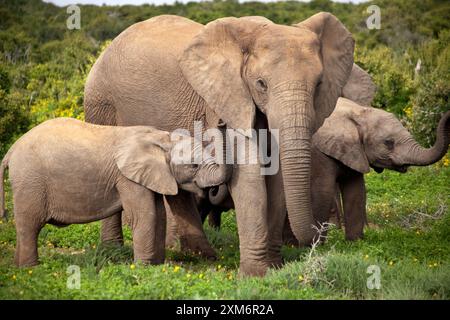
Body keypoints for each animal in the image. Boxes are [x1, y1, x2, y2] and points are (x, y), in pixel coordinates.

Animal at [0, 117, 230, 268]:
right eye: (193, 166)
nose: (221, 122)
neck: (162, 138)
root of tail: (10, 151)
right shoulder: (127, 178)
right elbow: (145, 216)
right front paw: (143, 268)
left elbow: (158, 215)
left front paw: (156, 266)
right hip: (30, 182)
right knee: (30, 225)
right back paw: (31, 268)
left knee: (24, 226)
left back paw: (18, 267)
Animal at [82, 12, 354, 276]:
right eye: (261, 84)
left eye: (319, 84)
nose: (315, 240)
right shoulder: (225, 98)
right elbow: (249, 173)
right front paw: (255, 275)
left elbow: (276, 177)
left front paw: (275, 268)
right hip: (99, 102)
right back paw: (114, 251)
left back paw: (200, 254)